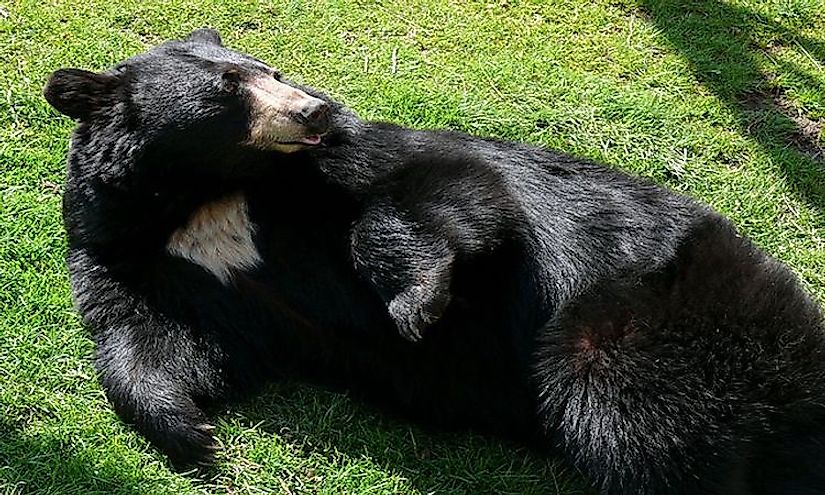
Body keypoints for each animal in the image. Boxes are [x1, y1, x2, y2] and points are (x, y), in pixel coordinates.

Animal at [45, 29, 824, 494]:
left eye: (270, 69)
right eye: (230, 87)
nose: (313, 109)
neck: (205, 192)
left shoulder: (349, 164)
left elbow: (448, 188)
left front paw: (419, 305)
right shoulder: (131, 252)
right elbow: (151, 335)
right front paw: (191, 432)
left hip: (651, 326)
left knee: (640, 421)